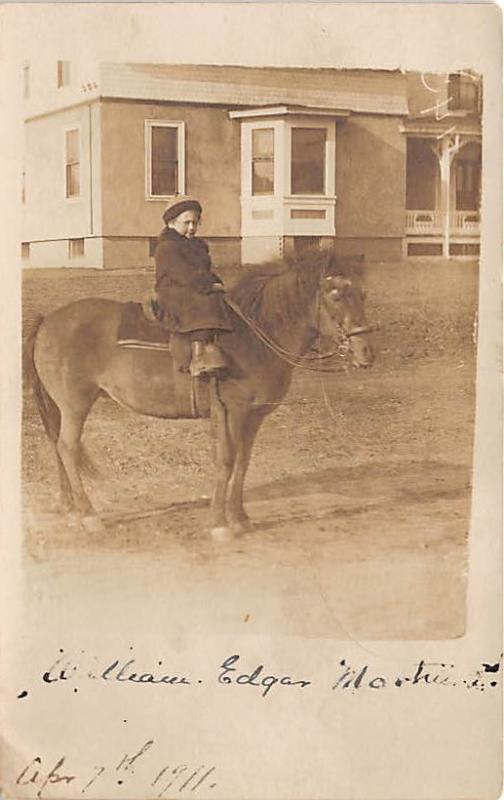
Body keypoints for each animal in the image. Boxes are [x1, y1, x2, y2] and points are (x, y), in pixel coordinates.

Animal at [25, 260, 372, 540]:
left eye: (363, 295)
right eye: (336, 296)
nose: (367, 352)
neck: (254, 336)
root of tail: (48, 320)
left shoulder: (253, 417)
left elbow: (243, 462)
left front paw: (240, 518)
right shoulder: (232, 411)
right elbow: (226, 461)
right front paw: (220, 523)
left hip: (62, 408)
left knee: (57, 446)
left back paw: (71, 508)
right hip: (75, 405)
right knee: (67, 448)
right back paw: (88, 515)